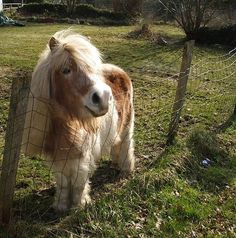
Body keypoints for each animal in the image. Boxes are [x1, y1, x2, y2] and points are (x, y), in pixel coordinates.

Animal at [23, 30, 136, 212]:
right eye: (66, 70)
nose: (104, 98)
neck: (64, 127)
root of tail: (118, 70)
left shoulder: (82, 158)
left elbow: (78, 183)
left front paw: (78, 206)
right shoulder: (58, 159)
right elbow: (62, 183)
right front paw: (60, 206)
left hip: (127, 126)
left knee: (127, 146)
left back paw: (126, 169)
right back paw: (115, 163)